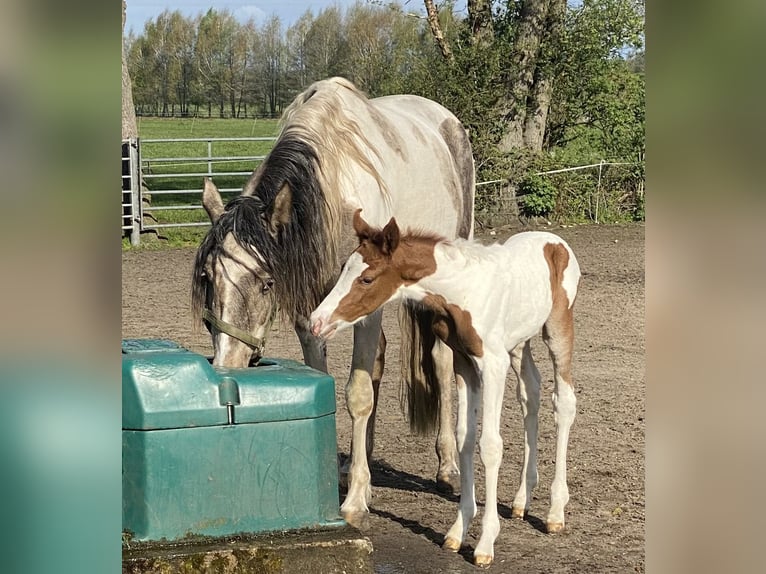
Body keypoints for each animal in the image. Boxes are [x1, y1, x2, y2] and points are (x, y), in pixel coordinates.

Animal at [194, 76, 474, 528]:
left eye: (267, 283)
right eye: (207, 278)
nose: (228, 366)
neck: (336, 189)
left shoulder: (368, 304)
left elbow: (357, 393)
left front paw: (356, 500)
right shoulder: (309, 310)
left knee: (442, 359)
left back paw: (446, 468)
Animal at [312, 210, 584, 568]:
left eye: (367, 279)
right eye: (344, 269)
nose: (316, 321)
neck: (462, 292)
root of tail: (554, 241)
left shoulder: (492, 364)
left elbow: (490, 445)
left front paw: (485, 544)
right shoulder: (465, 364)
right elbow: (464, 439)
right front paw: (457, 531)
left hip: (557, 329)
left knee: (563, 402)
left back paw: (555, 513)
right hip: (518, 343)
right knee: (531, 393)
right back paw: (521, 500)